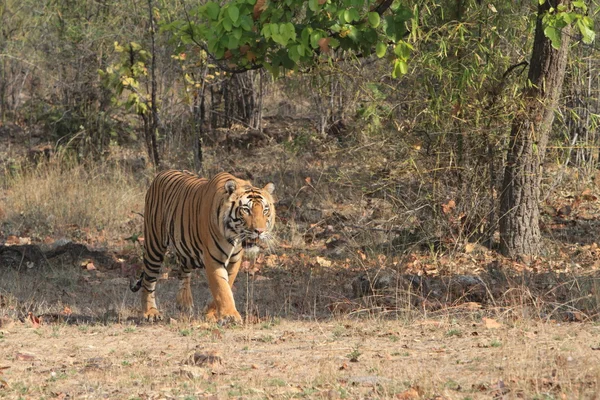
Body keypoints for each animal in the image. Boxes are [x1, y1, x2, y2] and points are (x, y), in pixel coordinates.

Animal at [130, 170, 276, 324]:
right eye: (246, 210)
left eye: (265, 210)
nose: (259, 231)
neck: (234, 236)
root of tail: (161, 173)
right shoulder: (213, 259)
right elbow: (221, 287)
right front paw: (230, 315)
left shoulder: (234, 260)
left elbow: (227, 284)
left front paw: (211, 313)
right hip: (154, 245)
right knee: (148, 281)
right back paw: (151, 312)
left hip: (187, 250)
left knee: (183, 271)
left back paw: (184, 303)